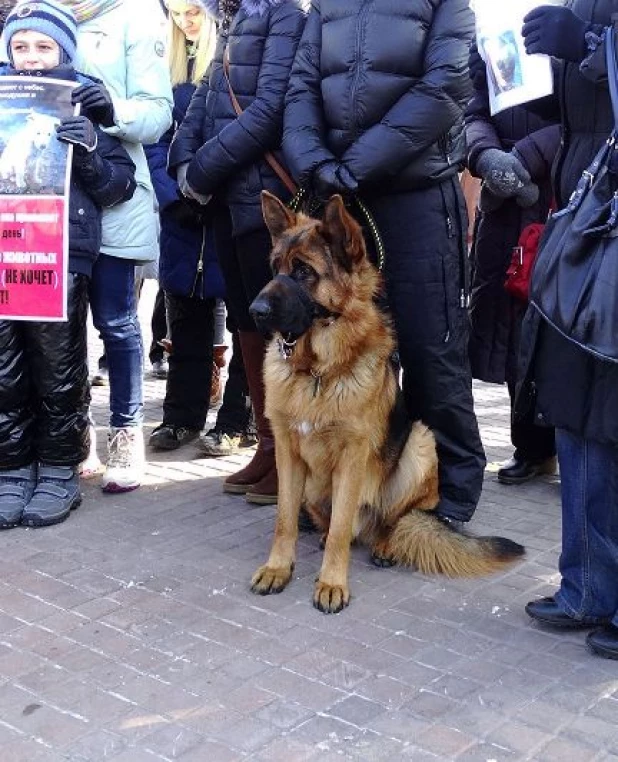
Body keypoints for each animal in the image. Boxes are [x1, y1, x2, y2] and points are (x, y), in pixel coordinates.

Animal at [248, 191, 524, 612]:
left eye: (303, 271)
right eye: (274, 268)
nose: (254, 312)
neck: (317, 373)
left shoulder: (352, 456)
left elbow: (341, 528)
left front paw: (332, 582)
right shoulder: (287, 451)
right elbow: (284, 520)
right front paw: (278, 568)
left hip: (420, 443)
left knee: (394, 521)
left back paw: (385, 544)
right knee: (337, 525)